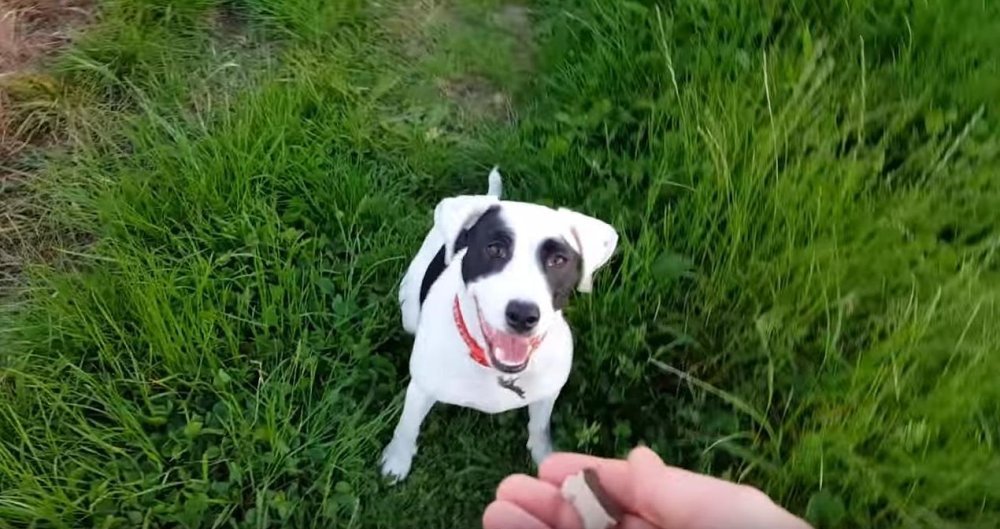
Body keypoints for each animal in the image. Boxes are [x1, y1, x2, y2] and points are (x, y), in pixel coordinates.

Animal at [380, 167, 619, 481]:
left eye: (558, 260)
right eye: (494, 249)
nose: (523, 314)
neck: (493, 370)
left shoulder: (547, 394)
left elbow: (539, 428)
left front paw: (546, 459)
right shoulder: (421, 388)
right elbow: (407, 426)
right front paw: (397, 460)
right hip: (409, 312)